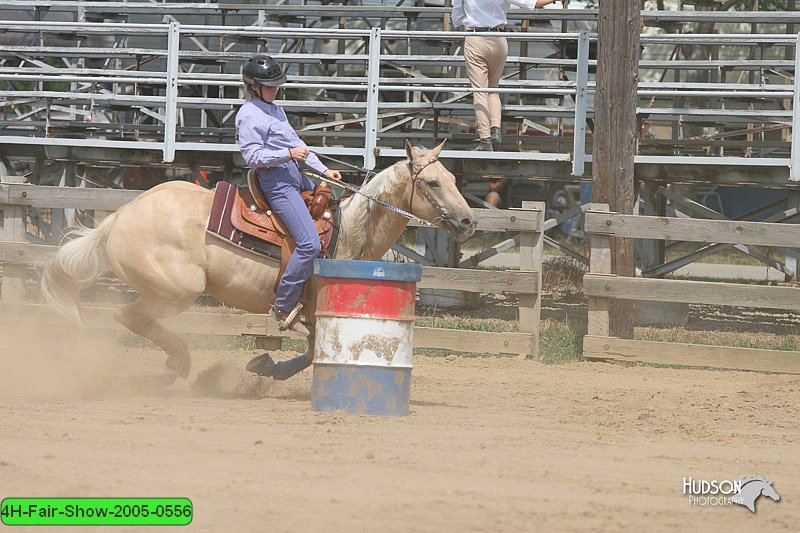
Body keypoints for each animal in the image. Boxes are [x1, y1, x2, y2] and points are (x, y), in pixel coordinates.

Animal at [40, 140, 476, 378]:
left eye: (454, 180)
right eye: (433, 182)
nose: (469, 221)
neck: (348, 230)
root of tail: (118, 218)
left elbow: (311, 354)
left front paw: (263, 365)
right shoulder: (315, 308)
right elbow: (310, 353)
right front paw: (263, 366)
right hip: (178, 290)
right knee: (129, 316)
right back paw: (179, 363)